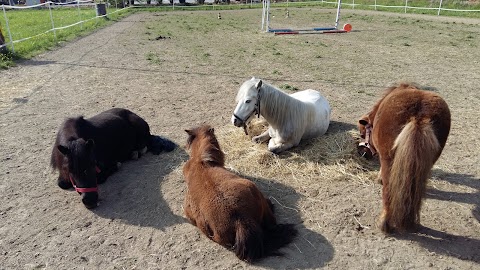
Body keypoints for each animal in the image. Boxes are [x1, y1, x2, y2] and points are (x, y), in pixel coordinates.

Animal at [358, 83, 452, 233]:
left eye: (362, 134)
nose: (364, 154)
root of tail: (420, 114)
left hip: (389, 162)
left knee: (388, 191)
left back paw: (384, 223)